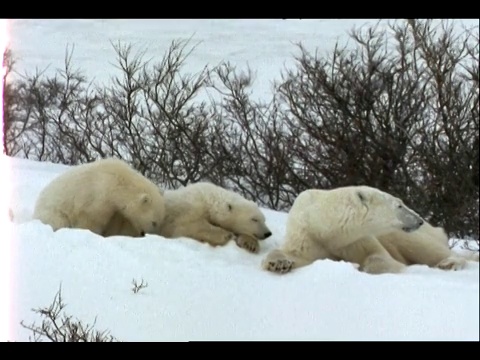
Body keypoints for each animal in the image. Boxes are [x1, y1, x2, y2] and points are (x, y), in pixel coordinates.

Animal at [32, 157, 166, 236]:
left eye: (159, 222)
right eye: (154, 222)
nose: (144, 234)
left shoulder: (114, 209)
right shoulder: (98, 195)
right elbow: (90, 219)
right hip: (53, 212)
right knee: (58, 221)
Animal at [264, 186, 478, 276]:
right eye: (399, 205)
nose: (419, 220)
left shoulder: (356, 240)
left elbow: (379, 257)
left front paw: (361, 267)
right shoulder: (306, 235)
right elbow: (297, 256)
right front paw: (279, 263)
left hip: (408, 236)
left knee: (427, 249)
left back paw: (448, 263)